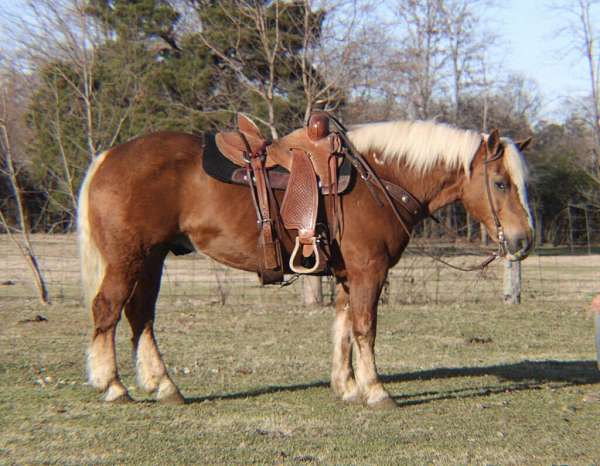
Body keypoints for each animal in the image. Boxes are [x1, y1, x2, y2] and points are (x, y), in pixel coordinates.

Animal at [77, 115, 532, 408]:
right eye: (500, 183)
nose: (523, 241)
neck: (378, 178)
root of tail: (107, 157)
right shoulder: (369, 271)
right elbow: (365, 329)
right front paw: (376, 391)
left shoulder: (349, 275)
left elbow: (343, 329)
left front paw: (346, 387)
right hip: (127, 258)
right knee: (108, 310)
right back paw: (113, 385)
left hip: (151, 259)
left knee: (141, 316)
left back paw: (164, 386)